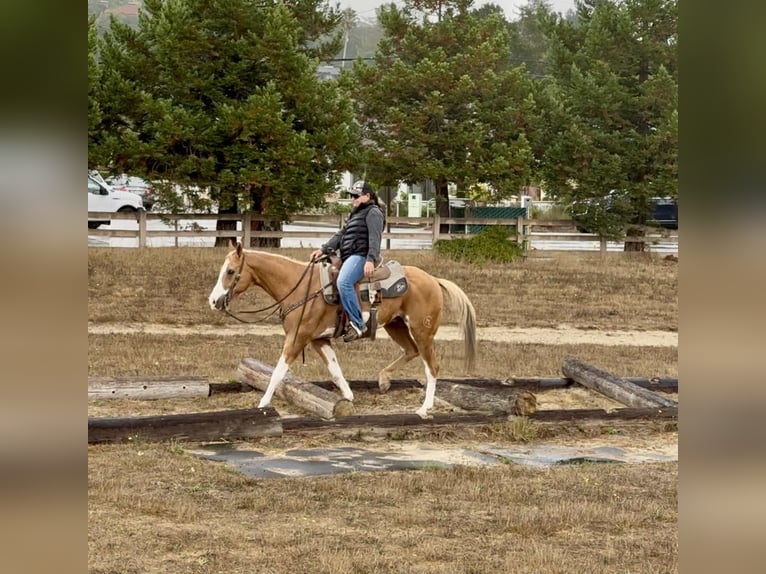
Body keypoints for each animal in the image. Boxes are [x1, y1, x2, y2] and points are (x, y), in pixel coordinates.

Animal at [208, 242, 477, 418]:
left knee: (432, 366)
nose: (213, 301)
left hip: (422, 331)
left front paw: (262, 404)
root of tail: (433, 280)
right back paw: (384, 379)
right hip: (396, 325)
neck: (301, 288)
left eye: (230, 271)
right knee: (411, 352)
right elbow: (335, 371)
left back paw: (424, 407)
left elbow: (277, 372)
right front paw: (348, 398)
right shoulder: (319, 340)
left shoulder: (297, 338)